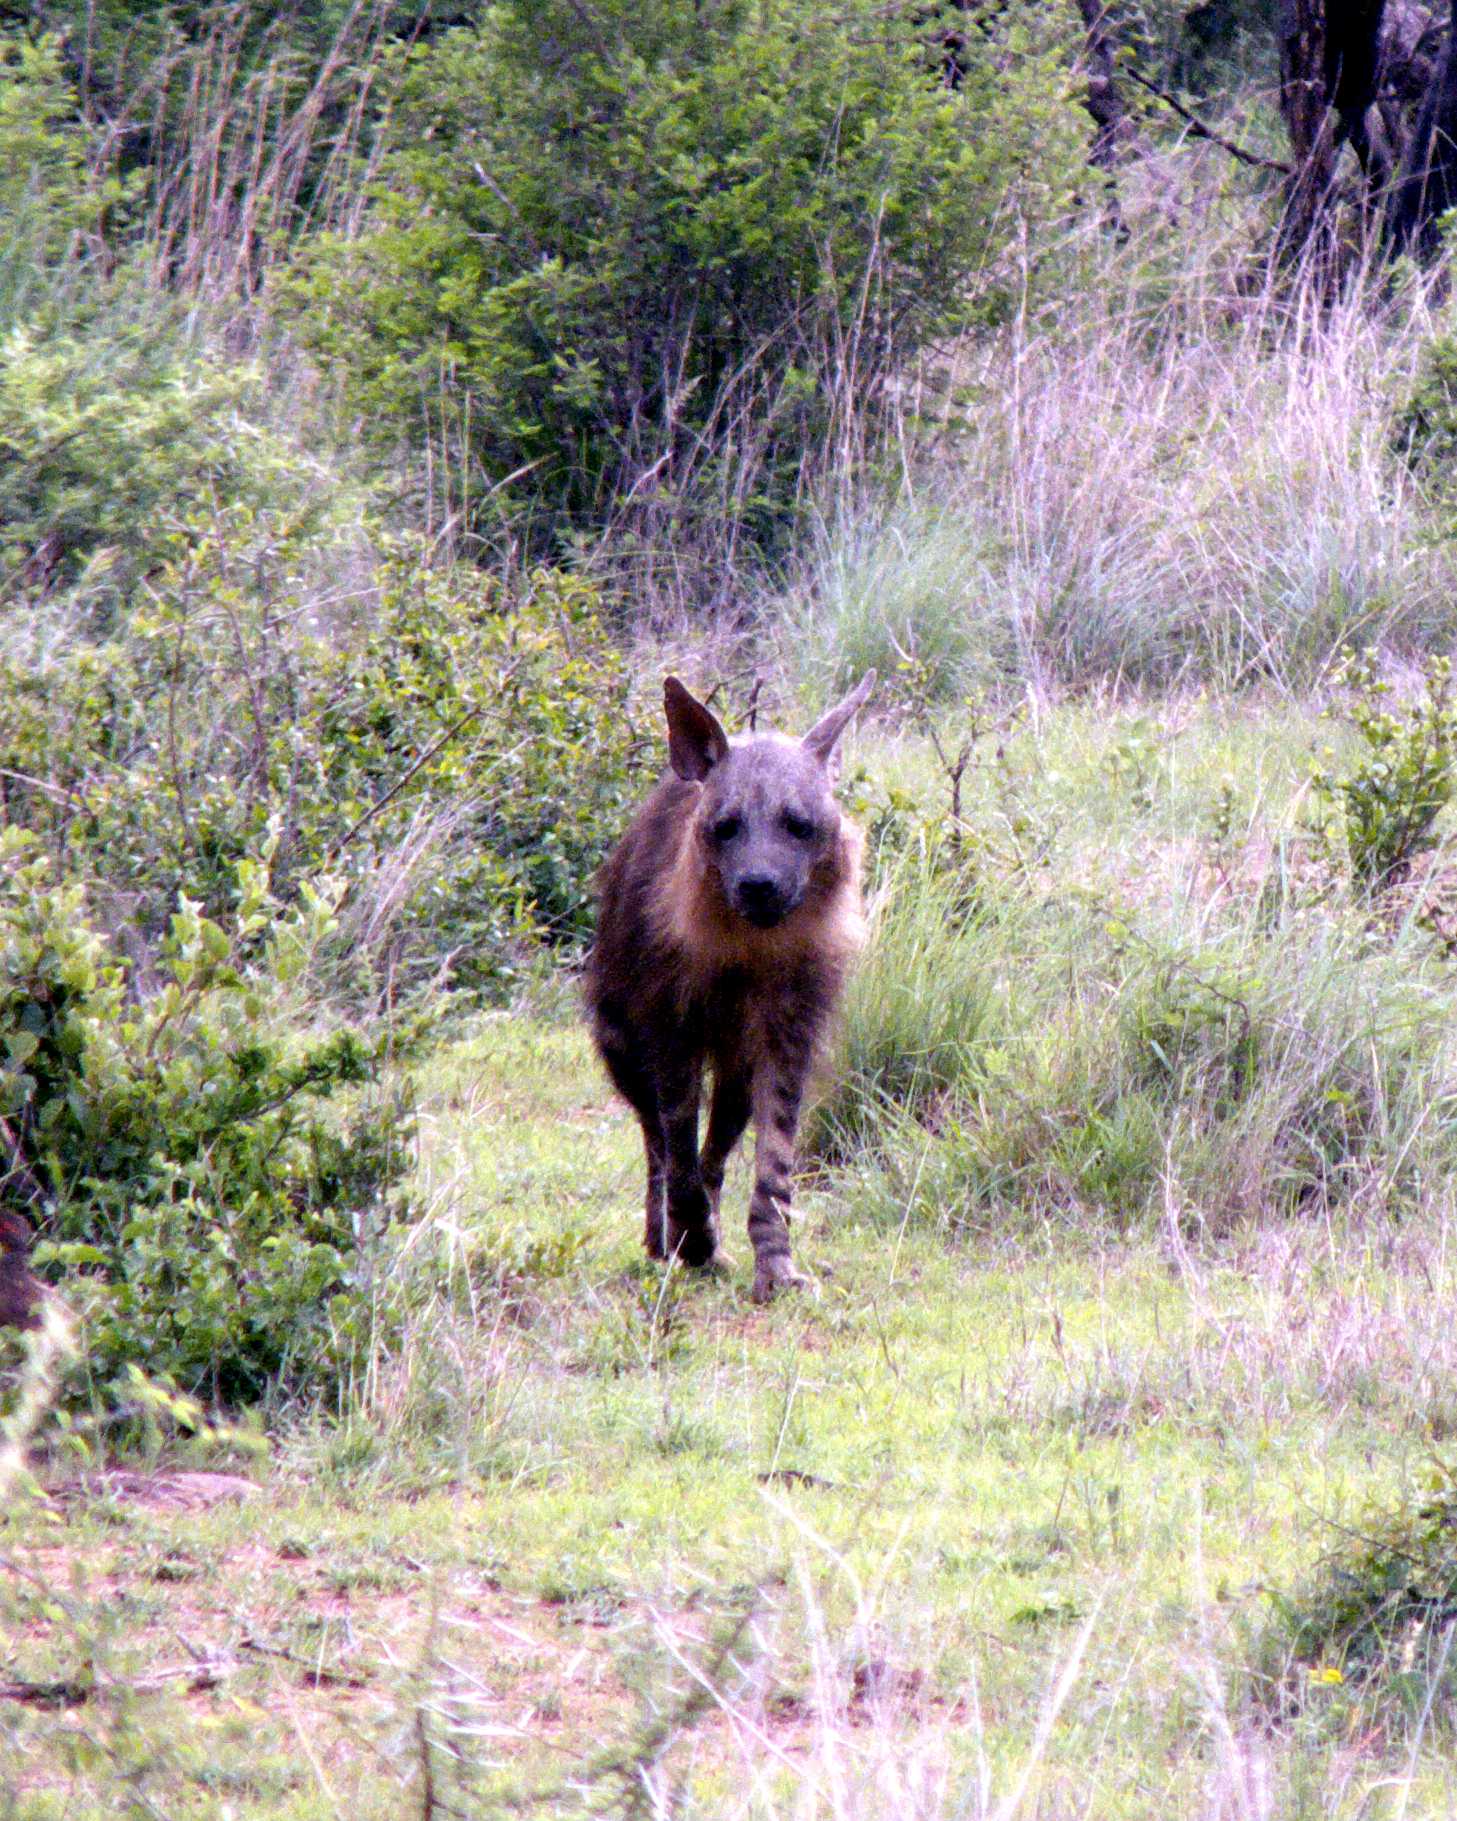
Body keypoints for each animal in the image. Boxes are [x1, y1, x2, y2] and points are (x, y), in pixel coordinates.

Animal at [587, 671, 874, 1302]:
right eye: (726, 828)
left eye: (798, 826)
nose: (759, 884)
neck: (746, 954)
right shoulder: (670, 1026)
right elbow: (676, 1144)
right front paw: (688, 1239)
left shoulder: (789, 1031)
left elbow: (774, 1162)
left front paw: (775, 1267)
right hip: (619, 1042)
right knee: (655, 1140)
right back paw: (666, 1241)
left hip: (737, 1069)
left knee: (718, 1144)